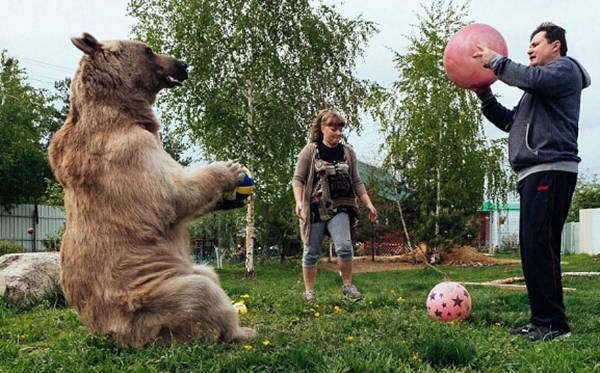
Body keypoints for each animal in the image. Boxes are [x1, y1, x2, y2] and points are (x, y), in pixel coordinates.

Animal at [48, 33, 255, 348]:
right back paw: (240, 330)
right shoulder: (128, 152)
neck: (123, 111)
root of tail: (113, 334)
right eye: (148, 49)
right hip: (151, 300)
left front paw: (231, 200)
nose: (183, 64)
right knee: (201, 293)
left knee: (207, 272)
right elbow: (170, 195)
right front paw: (228, 169)